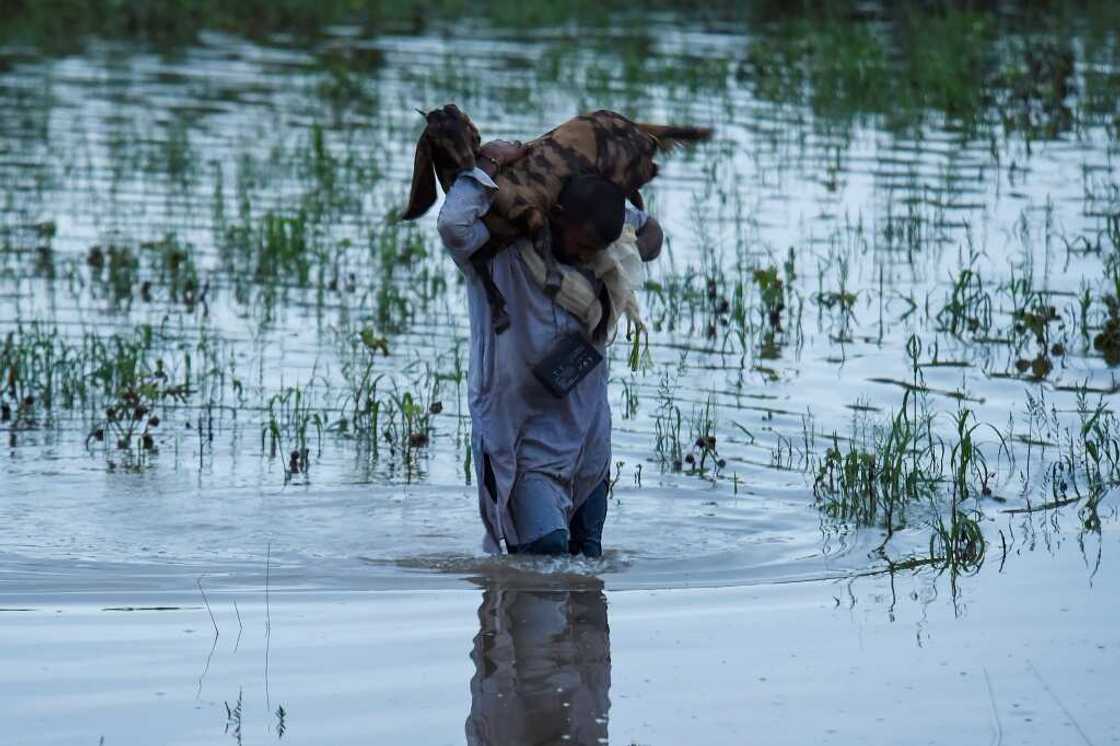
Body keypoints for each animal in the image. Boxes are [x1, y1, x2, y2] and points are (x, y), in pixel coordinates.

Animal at [402, 105, 711, 332]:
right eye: (437, 136)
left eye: (466, 127)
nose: (469, 161)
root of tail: (632, 124)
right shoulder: (498, 237)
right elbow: (478, 263)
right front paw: (499, 314)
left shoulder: (533, 209)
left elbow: (542, 241)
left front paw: (552, 279)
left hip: (626, 164)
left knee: (652, 166)